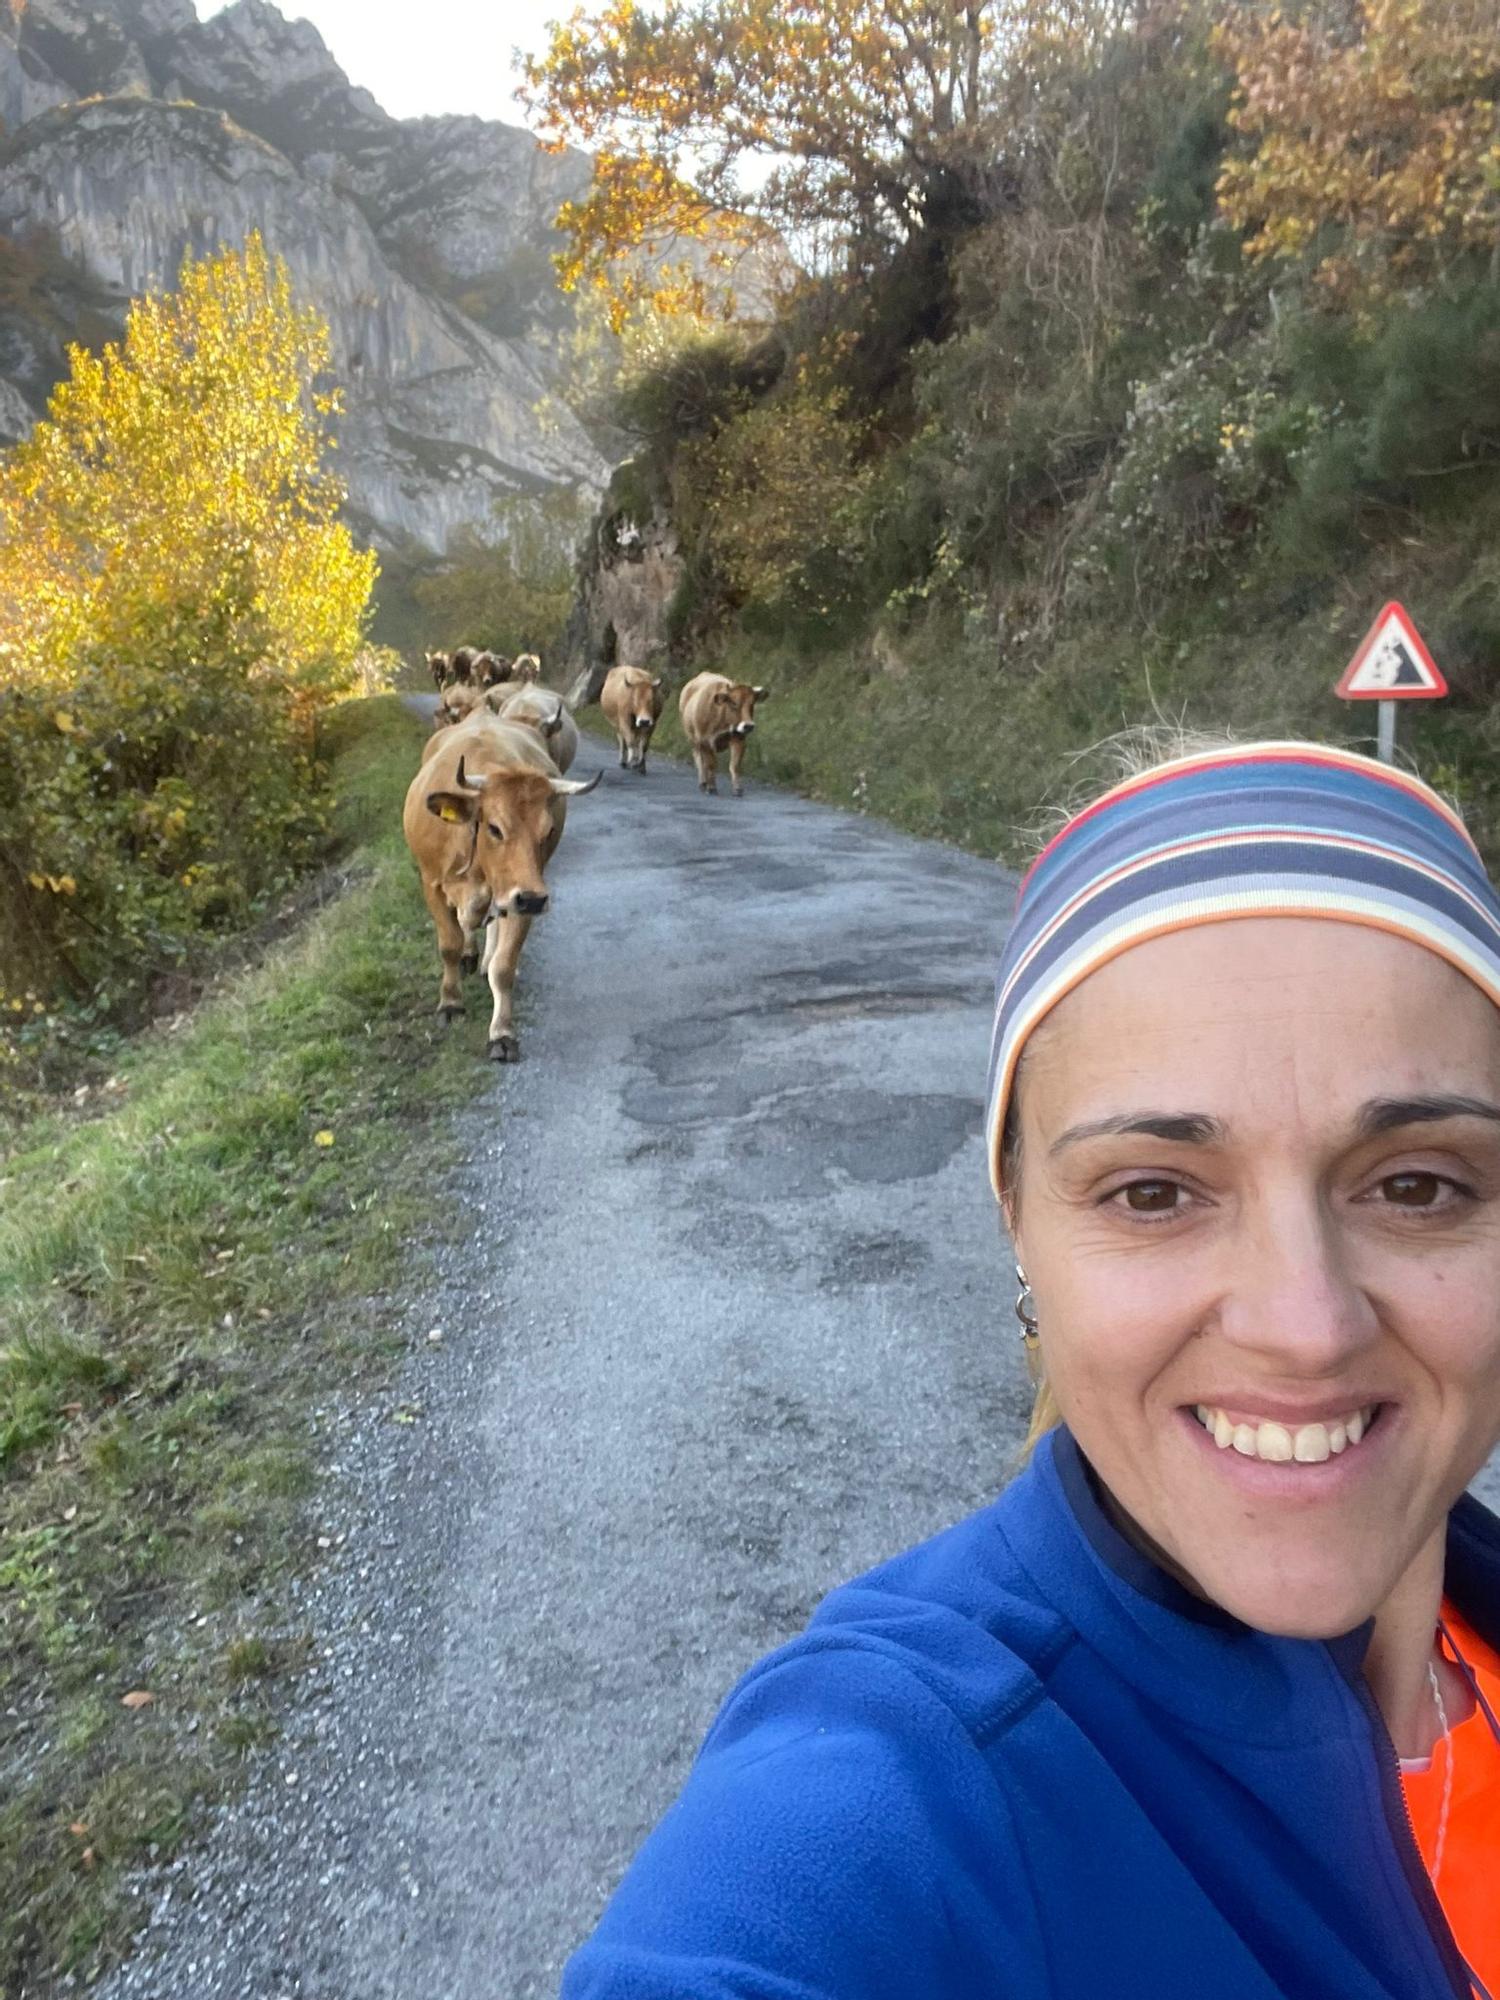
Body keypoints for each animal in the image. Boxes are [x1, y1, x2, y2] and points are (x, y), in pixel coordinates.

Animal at [412, 716, 604, 1064]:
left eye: (548, 830)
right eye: (494, 828)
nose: (533, 900)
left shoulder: (525, 893)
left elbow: (504, 966)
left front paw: (501, 1034)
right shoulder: (431, 883)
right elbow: (449, 945)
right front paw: (450, 1003)